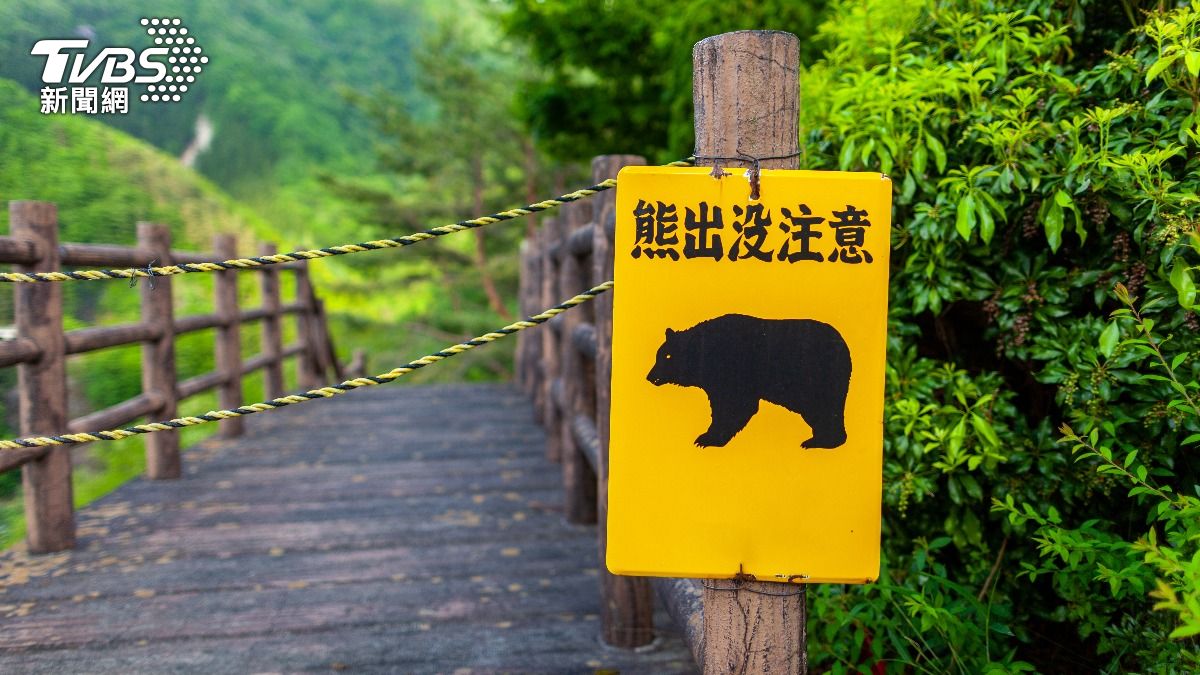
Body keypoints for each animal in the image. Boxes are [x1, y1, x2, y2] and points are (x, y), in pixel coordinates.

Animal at [645, 314, 852, 449]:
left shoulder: (733, 372)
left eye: (667, 356)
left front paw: (707, 438)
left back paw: (820, 442)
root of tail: (844, 345)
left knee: (824, 408)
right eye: (659, 355)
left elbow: (735, 406)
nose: (649, 376)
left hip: (816, 379)